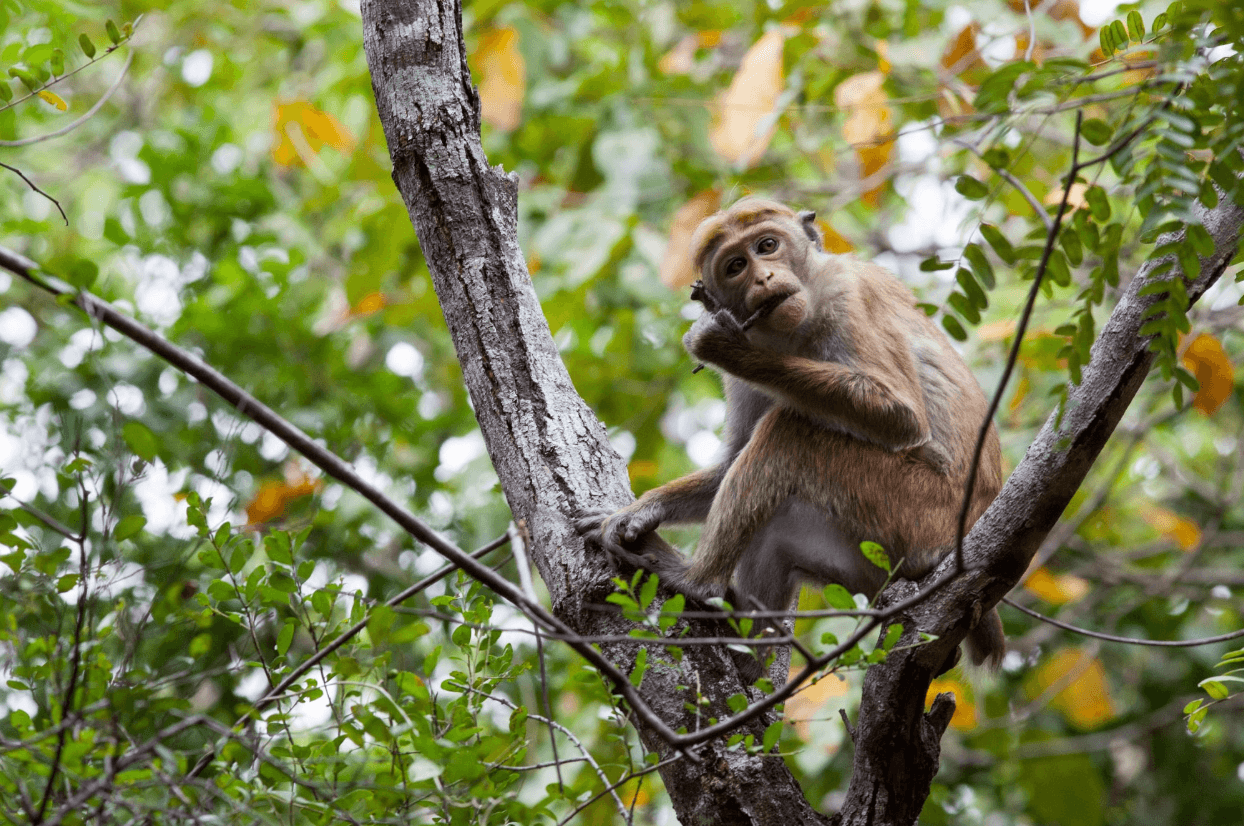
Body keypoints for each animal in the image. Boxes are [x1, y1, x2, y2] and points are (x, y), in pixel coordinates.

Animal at [577, 197, 1005, 682]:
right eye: (736, 266)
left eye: (767, 246)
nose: (763, 277)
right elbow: (730, 462)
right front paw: (638, 512)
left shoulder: (847, 295)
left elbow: (901, 417)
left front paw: (723, 347)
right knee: (776, 529)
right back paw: (745, 647)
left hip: (918, 514)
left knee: (789, 432)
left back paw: (697, 582)